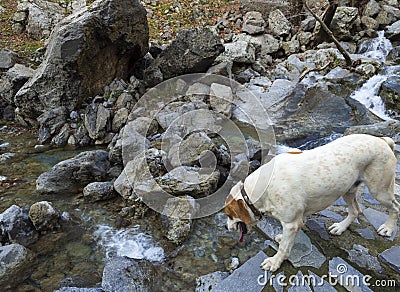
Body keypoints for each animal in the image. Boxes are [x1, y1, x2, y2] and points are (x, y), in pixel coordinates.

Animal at [225, 133, 396, 272]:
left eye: (228, 214)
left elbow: (284, 248)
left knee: (395, 208)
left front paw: (275, 262)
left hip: (380, 191)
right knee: (355, 211)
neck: (264, 187)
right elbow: (286, 241)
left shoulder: (291, 223)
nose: (226, 227)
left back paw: (388, 228)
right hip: (348, 190)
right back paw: (340, 227)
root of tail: (382, 140)